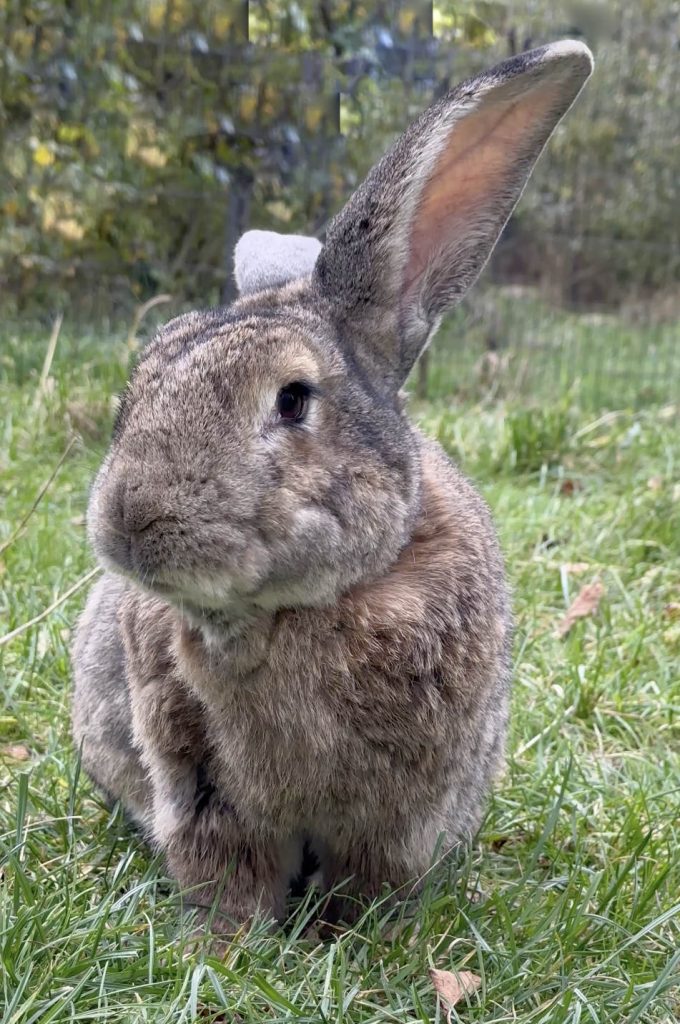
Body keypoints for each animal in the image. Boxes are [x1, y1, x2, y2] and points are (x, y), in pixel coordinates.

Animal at [72, 41, 593, 933]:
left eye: (291, 399)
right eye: (144, 376)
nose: (127, 524)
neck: (289, 613)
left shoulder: (401, 807)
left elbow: (369, 874)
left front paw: (348, 935)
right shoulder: (196, 779)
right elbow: (224, 863)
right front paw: (229, 943)